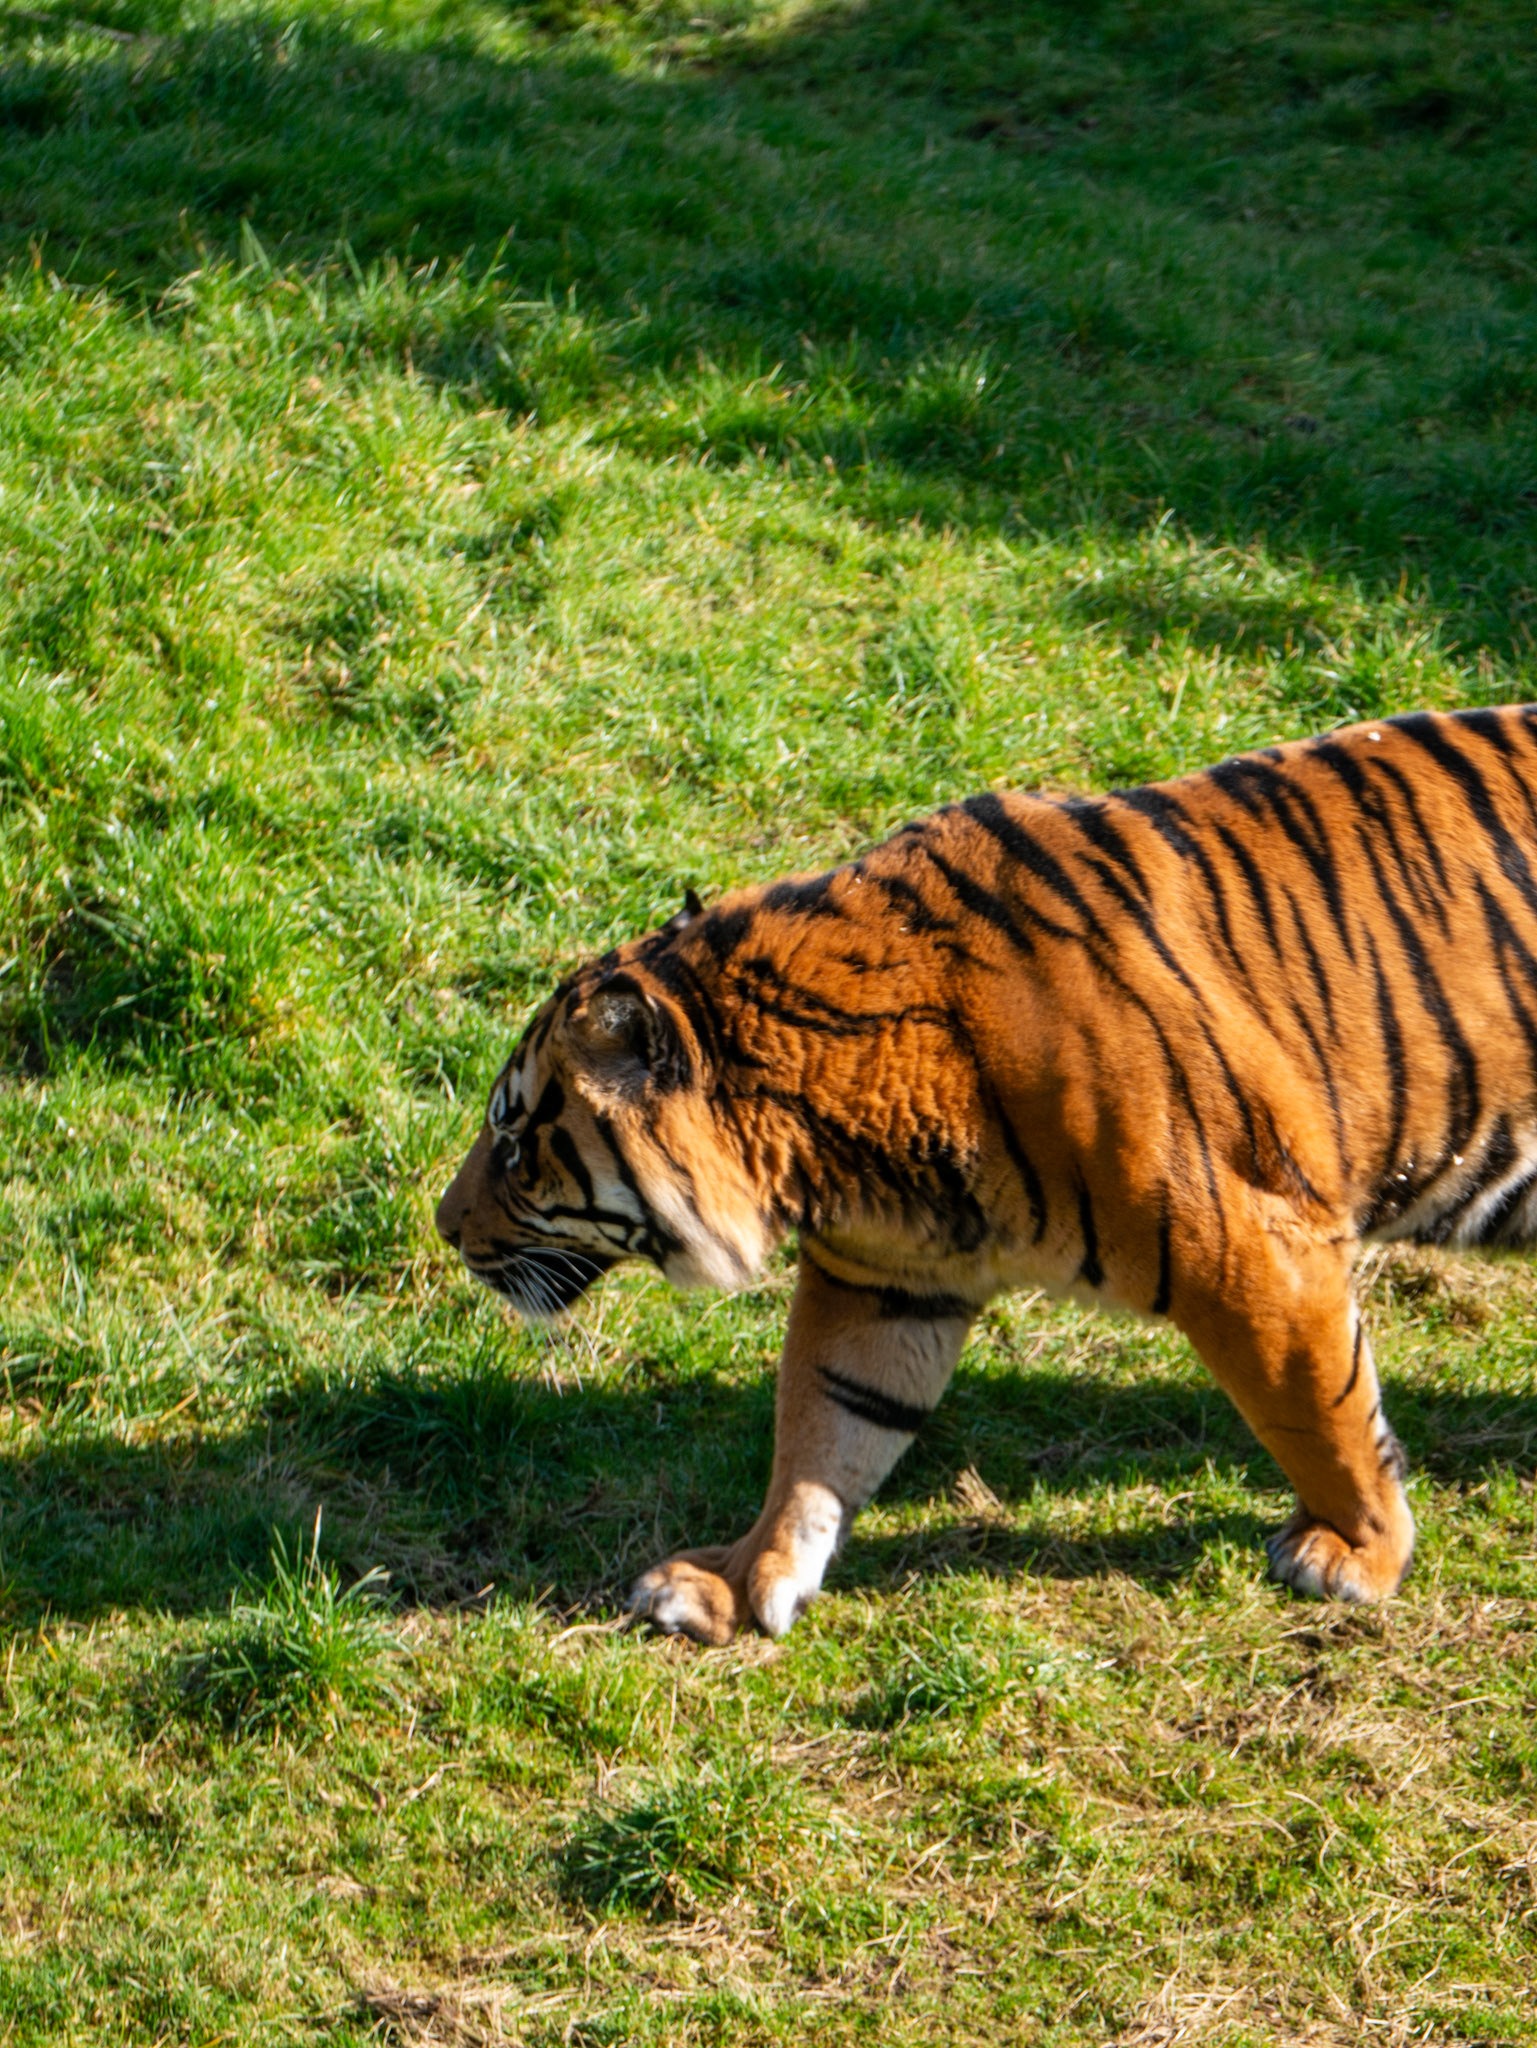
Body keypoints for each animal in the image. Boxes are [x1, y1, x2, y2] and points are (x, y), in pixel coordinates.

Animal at [436, 705, 1537, 1644]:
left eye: (515, 1145)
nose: (445, 1227)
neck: (843, 1129)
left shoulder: (1253, 1250)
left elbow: (1317, 1409)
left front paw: (1359, 1553)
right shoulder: (883, 1277)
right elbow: (822, 1427)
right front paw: (741, 1579)